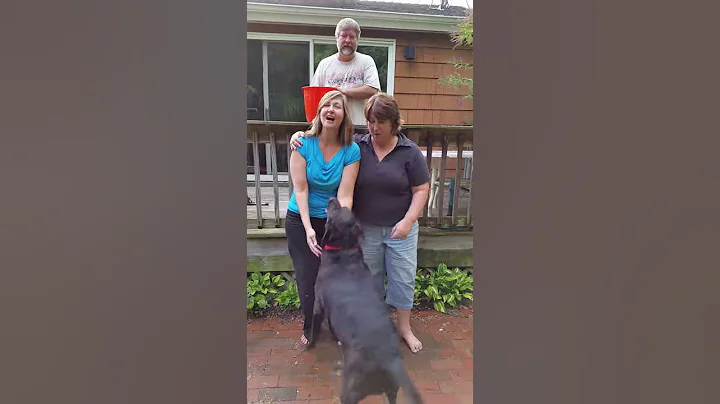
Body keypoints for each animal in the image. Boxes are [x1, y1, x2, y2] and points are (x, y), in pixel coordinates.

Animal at [306, 198, 422, 404]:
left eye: (337, 210)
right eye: (345, 208)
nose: (332, 199)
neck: (343, 251)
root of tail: (389, 360)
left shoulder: (318, 303)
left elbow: (315, 327)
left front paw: (308, 345)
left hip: (349, 392)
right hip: (392, 391)